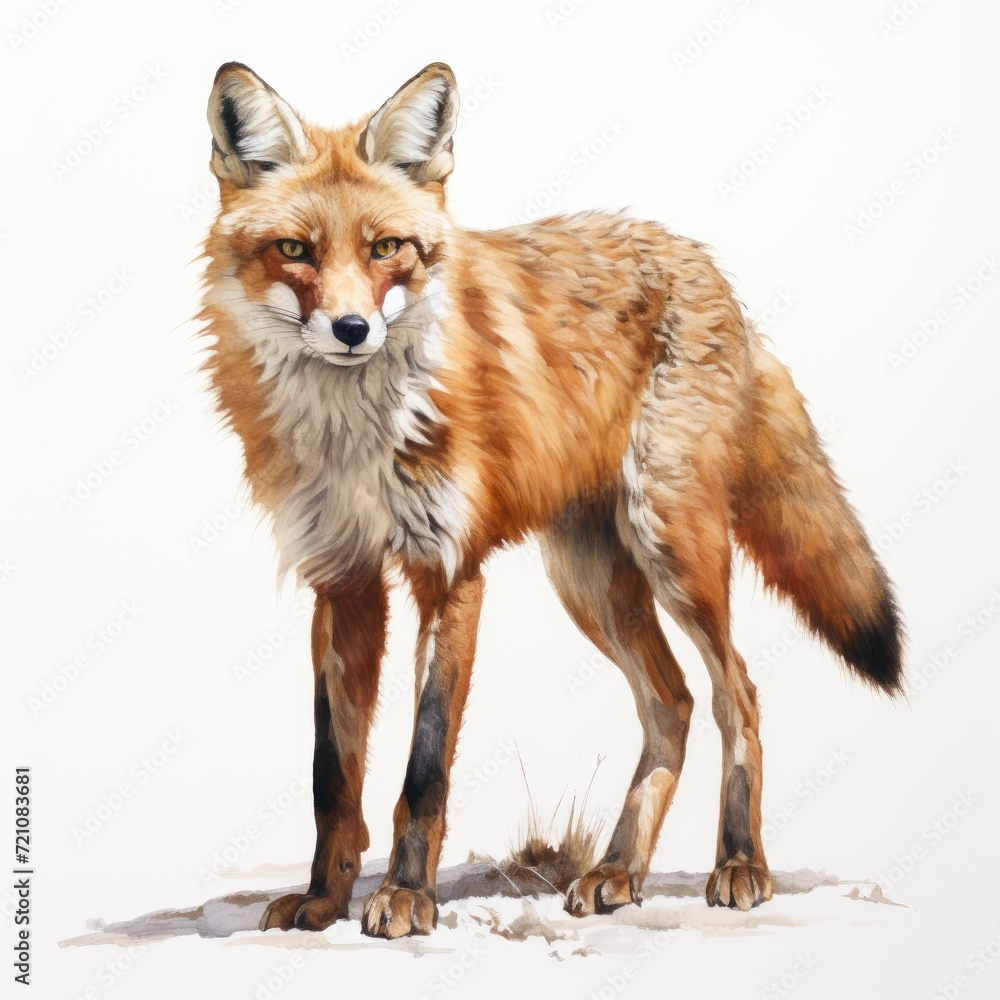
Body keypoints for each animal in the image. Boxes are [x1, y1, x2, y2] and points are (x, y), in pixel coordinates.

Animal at [199, 61, 903, 939]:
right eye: (294, 251)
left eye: (387, 248)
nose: (353, 328)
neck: (354, 435)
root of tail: (705, 265)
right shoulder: (343, 580)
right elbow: (334, 773)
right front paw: (324, 899)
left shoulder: (449, 573)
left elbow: (423, 768)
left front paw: (408, 895)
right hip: (591, 580)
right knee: (670, 704)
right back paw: (619, 869)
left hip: (673, 548)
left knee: (736, 692)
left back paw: (739, 862)